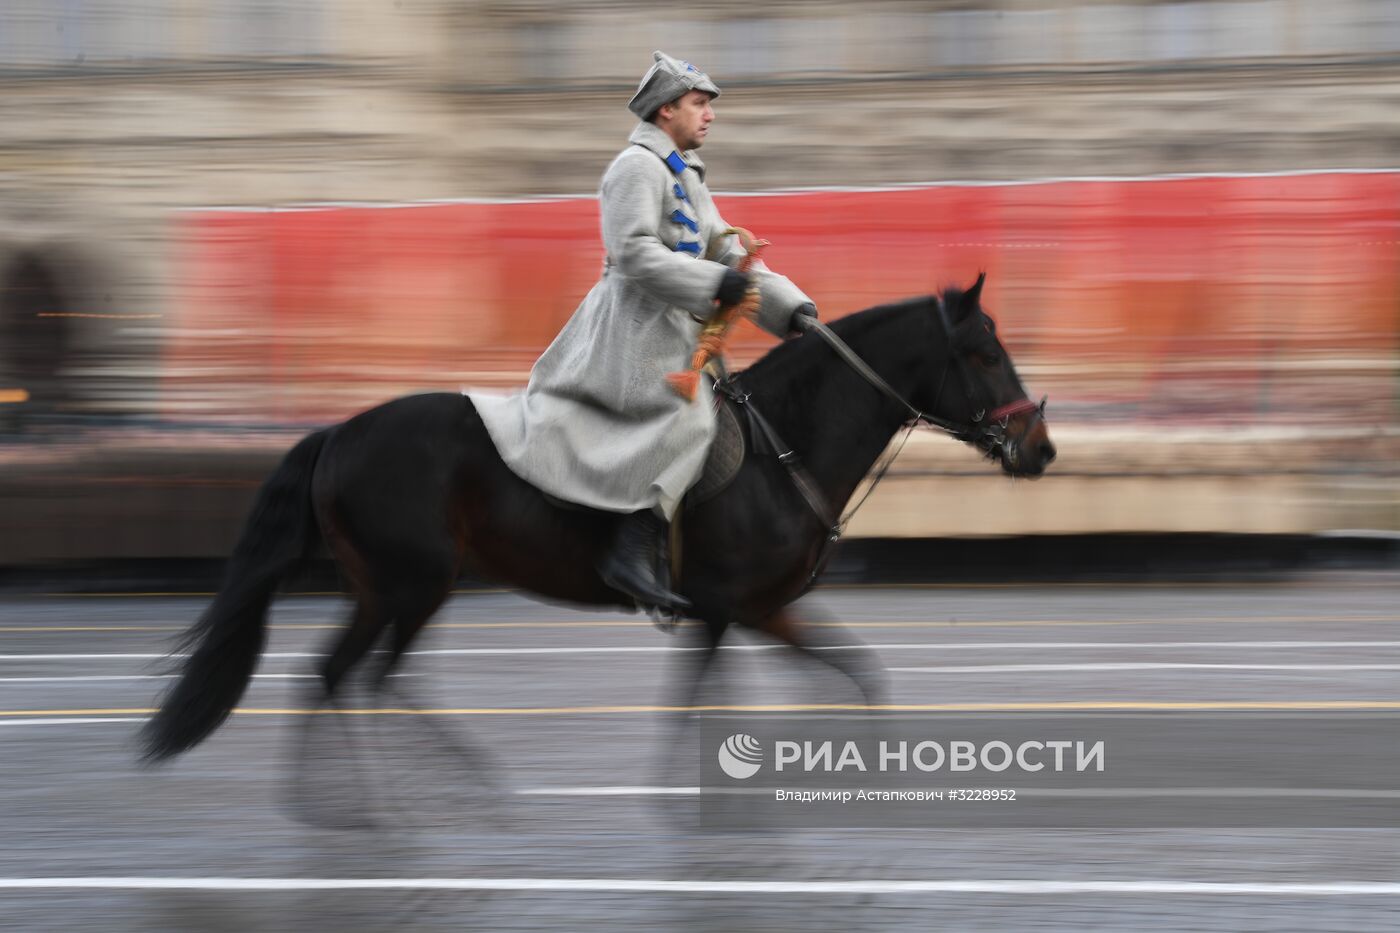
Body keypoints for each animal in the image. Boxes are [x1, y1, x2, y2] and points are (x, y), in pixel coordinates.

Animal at [147, 268, 1052, 756]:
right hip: (412, 585)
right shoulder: (721, 609)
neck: (784, 441)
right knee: (357, 677)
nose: (1040, 447)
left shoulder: (764, 609)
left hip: (390, 590)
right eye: (982, 352)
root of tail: (339, 431)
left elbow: (854, 674)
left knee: (346, 677)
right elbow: (699, 711)